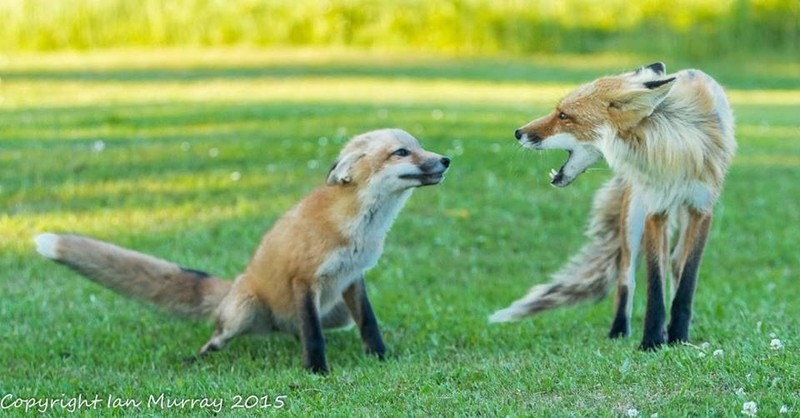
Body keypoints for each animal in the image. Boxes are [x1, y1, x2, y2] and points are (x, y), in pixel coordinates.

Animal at [34, 129, 450, 374]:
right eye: (401, 152)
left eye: (419, 147)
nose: (446, 159)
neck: (358, 229)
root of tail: (233, 284)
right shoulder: (303, 279)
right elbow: (313, 336)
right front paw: (317, 371)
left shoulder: (352, 277)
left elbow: (368, 324)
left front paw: (380, 358)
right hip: (245, 309)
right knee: (219, 334)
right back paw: (196, 357)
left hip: (335, 313)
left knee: (304, 329)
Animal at [494, 62, 736, 350]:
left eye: (563, 116)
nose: (518, 133)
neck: (674, 149)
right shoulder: (656, 208)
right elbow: (654, 285)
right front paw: (652, 341)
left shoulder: (702, 209)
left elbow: (687, 283)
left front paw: (678, 336)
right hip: (633, 216)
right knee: (626, 276)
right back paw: (619, 330)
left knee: (676, 264)